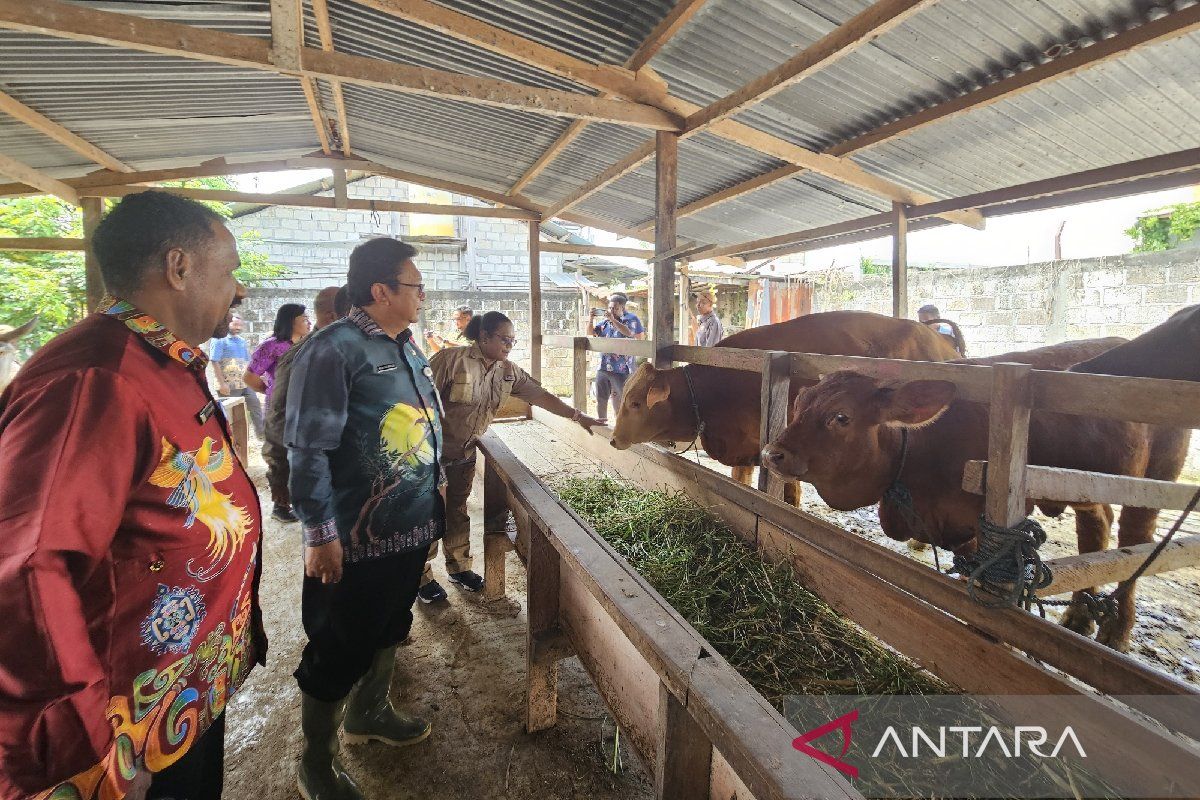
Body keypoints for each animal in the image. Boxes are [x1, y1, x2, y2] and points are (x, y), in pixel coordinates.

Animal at [758, 335, 1180, 652]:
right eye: (799, 403)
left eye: (841, 417)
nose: (772, 453)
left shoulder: (977, 532)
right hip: (1086, 484)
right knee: (1096, 526)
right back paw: (1078, 615)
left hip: (1160, 474)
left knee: (1137, 541)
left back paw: (1117, 630)